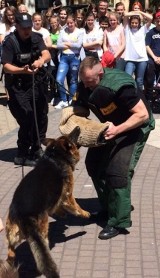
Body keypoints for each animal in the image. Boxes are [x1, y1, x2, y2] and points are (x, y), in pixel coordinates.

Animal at [0, 127, 90, 278]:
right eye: (70, 136)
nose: (77, 127)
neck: (55, 156)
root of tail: (24, 216)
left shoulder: (57, 197)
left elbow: (57, 206)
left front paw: (61, 213)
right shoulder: (68, 195)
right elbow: (75, 206)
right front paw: (84, 213)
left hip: (12, 234)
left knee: (11, 252)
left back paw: (9, 265)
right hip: (42, 228)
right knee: (42, 251)